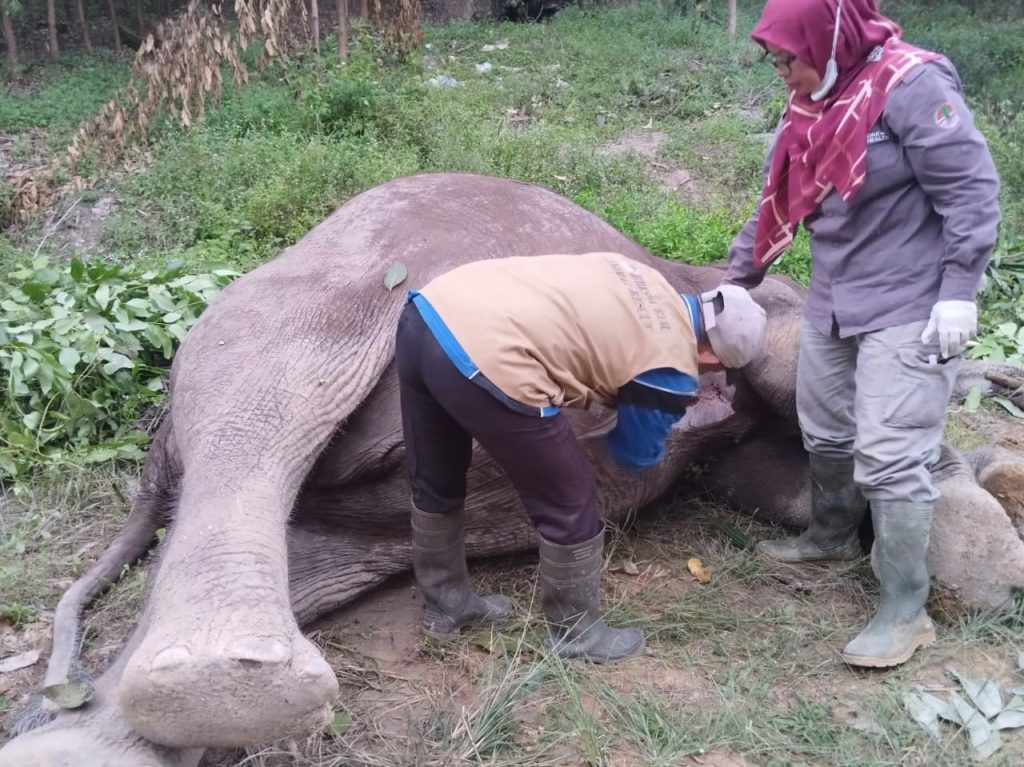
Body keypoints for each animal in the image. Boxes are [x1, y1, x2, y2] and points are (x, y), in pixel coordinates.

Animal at [2, 173, 1024, 765]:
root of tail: (155, 445)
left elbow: (780, 466)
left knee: (341, 539)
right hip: (317, 299)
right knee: (266, 388)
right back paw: (230, 683)